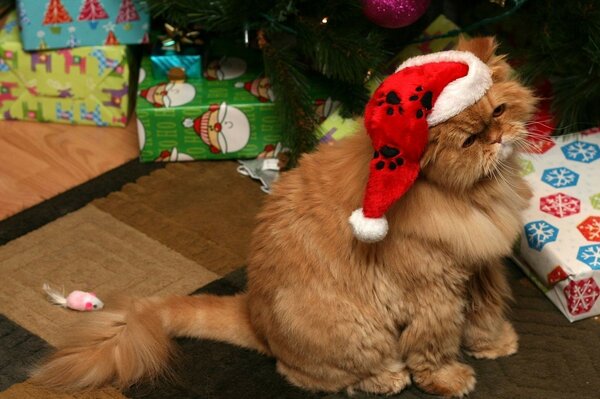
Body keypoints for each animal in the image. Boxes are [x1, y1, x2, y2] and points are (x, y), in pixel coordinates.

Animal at [31, 36, 536, 396]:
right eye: (469, 141)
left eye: (500, 111)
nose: (496, 138)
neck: (473, 195)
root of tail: (253, 312)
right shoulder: (434, 293)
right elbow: (435, 347)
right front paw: (450, 379)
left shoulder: (480, 268)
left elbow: (486, 313)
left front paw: (494, 344)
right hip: (357, 330)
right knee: (307, 374)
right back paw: (384, 379)